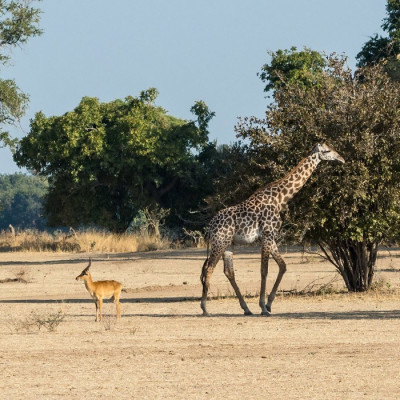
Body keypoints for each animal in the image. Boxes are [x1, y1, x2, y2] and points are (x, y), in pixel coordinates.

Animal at [202, 144, 346, 316]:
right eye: (327, 151)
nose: (342, 159)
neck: (279, 199)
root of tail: (210, 226)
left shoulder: (271, 235)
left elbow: (282, 266)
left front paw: (269, 304)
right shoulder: (266, 233)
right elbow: (264, 269)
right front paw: (263, 307)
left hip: (228, 245)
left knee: (228, 272)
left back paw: (246, 309)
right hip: (220, 242)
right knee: (209, 269)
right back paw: (204, 308)